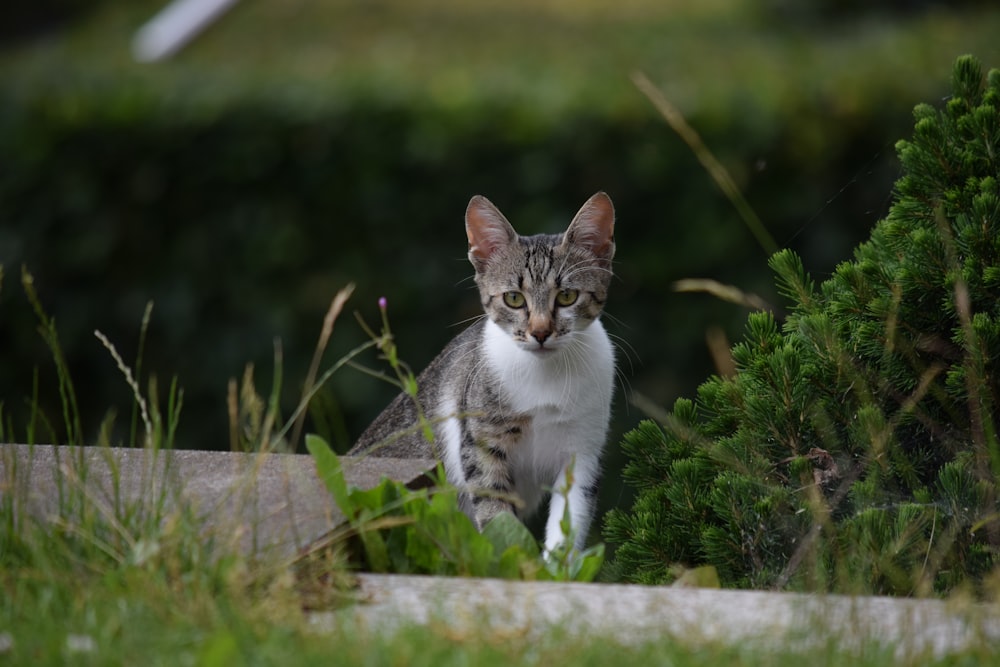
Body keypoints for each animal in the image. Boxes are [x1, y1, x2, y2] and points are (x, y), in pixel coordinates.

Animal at [352, 190, 616, 552]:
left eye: (567, 296)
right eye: (514, 298)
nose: (540, 332)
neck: (545, 376)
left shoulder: (582, 452)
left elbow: (568, 525)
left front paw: (555, 563)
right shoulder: (480, 444)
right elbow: (497, 515)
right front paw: (519, 560)